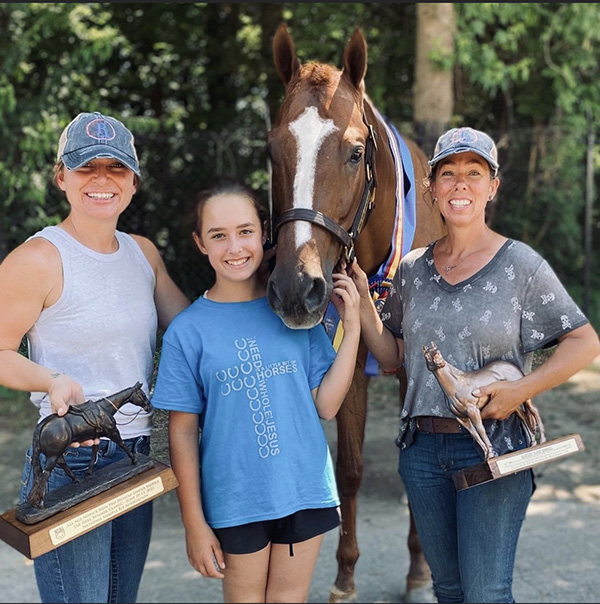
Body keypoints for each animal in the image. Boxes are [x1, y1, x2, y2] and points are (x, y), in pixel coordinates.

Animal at [268, 24, 446, 604]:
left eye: (353, 153)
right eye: (272, 149)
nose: (296, 287)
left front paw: (420, 569)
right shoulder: (350, 362)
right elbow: (348, 469)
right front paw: (345, 575)